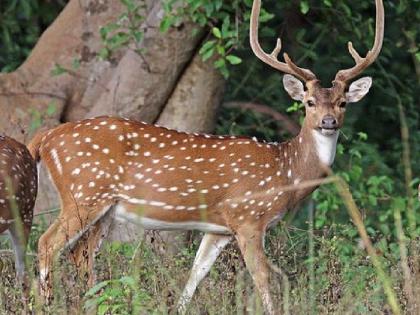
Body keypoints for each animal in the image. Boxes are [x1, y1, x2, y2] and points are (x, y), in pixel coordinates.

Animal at [27, 0, 384, 314]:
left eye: (342, 102)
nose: (329, 122)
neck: (286, 171)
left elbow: (194, 276)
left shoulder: (219, 229)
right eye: (309, 102)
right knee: (46, 244)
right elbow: (264, 279)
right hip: (83, 194)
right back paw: (44, 304)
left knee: (81, 255)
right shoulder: (248, 218)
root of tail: (46, 138)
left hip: (103, 208)